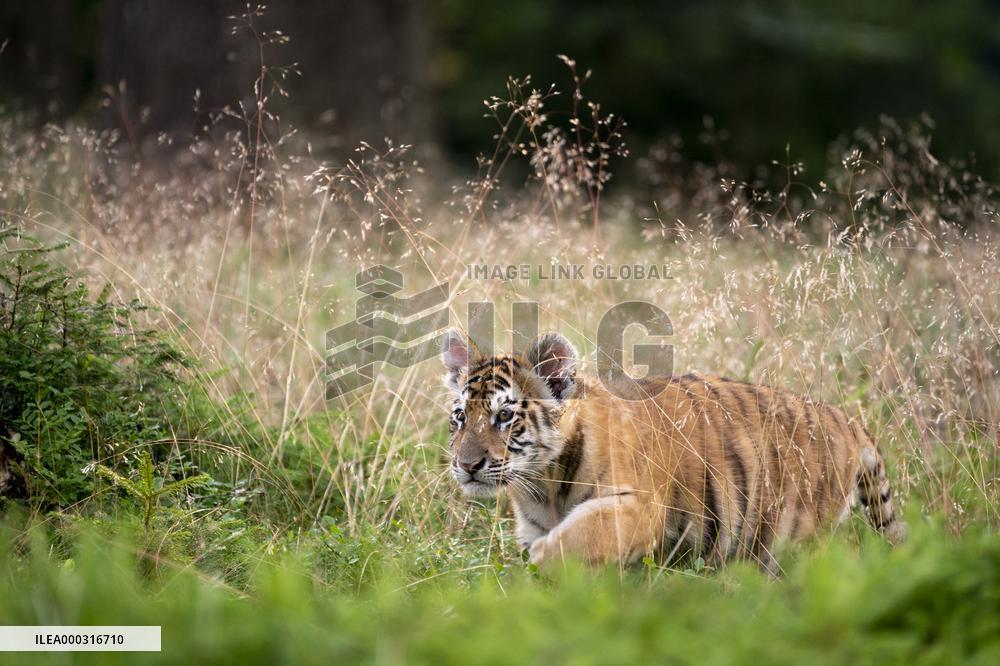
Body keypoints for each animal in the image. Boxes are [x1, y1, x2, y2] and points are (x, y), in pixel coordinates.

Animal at [442, 330, 904, 572]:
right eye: (461, 416)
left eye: (504, 416)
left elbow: (578, 537)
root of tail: (846, 419)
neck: (543, 484)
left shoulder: (641, 508)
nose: (467, 465)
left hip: (791, 532)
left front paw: (542, 565)